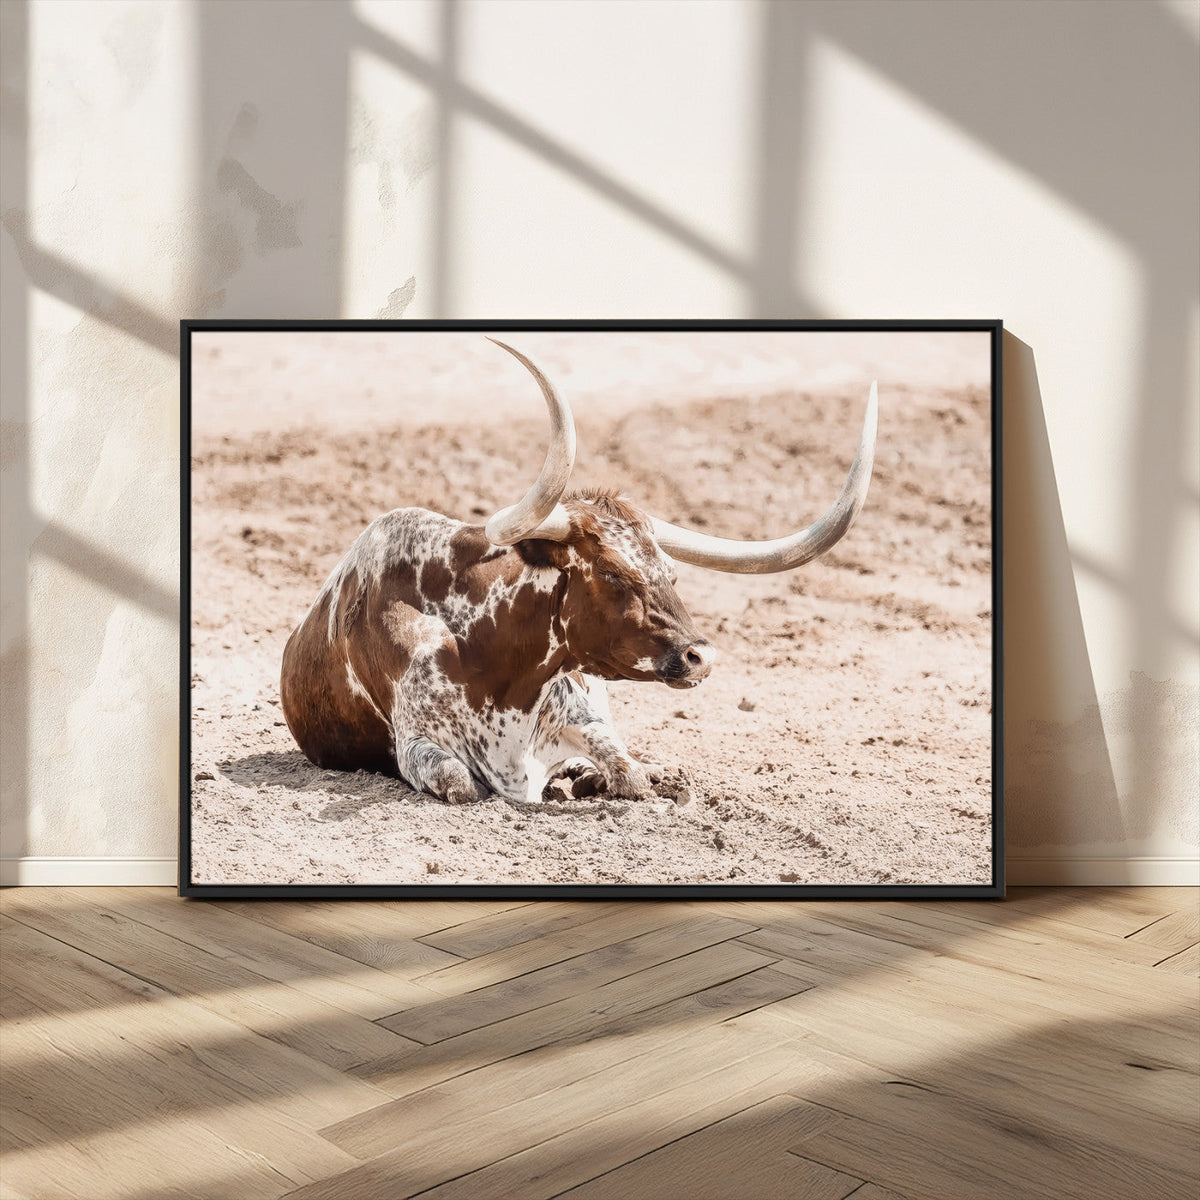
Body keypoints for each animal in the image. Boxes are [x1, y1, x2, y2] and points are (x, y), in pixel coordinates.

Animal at [280, 339, 877, 804]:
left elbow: (630, 773)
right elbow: (460, 782)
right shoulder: (416, 746)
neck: (491, 659)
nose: (700, 657)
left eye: (671, 573)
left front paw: (618, 777)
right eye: (612, 574)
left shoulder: (586, 715)